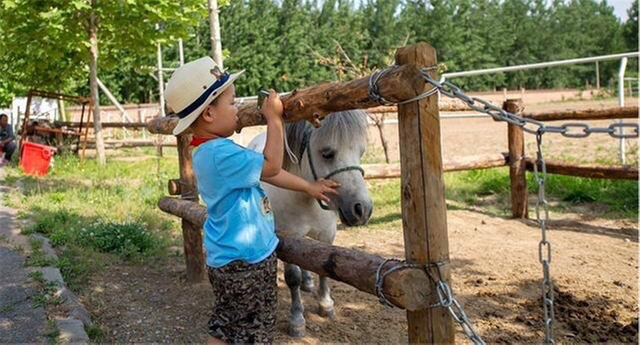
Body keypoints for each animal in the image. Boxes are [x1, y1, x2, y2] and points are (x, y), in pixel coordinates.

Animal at [248, 109, 372, 336]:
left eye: (361, 152)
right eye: (327, 153)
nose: (362, 210)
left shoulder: (326, 234)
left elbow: (322, 267)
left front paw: (326, 305)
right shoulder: (288, 238)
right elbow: (292, 278)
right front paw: (297, 319)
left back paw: (308, 282)